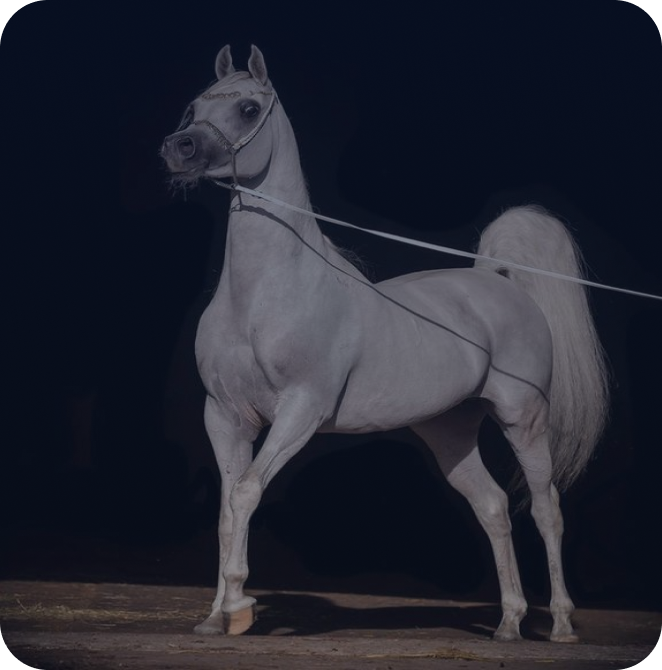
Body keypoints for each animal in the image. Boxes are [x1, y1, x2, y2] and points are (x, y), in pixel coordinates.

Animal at [161, 45, 608, 642]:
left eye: (249, 108)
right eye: (194, 107)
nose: (178, 149)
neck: (261, 297)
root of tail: (499, 281)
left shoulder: (300, 410)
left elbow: (247, 492)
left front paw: (239, 605)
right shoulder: (225, 416)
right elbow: (228, 513)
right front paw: (217, 616)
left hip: (524, 419)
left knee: (545, 508)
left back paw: (559, 625)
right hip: (450, 431)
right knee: (492, 506)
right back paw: (509, 624)